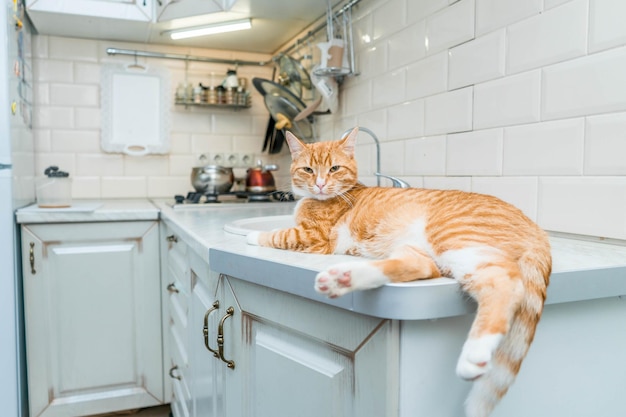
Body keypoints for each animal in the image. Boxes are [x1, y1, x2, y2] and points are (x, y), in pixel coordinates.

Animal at [246, 127, 548, 416]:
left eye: (334, 169)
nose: (320, 184)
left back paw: (475, 354)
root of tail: (536, 228)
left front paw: (251, 235)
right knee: (422, 267)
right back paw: (344, 278)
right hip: (423, 250)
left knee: (505, 282)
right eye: (308, 170)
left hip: (455, 238)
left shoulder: (312, 237)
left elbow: (279, 234)